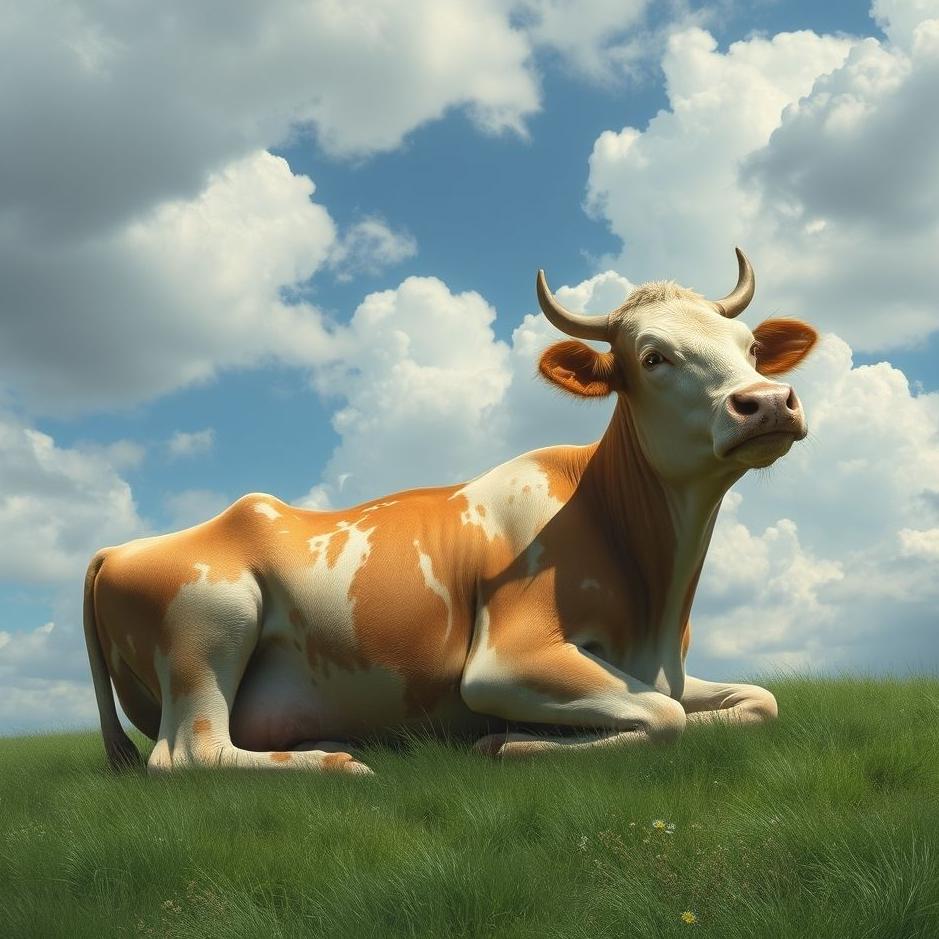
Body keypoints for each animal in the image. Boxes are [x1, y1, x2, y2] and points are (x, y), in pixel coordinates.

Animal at [83, 248, 817, 775]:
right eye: (653, 356)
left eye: (751, 348)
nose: (767, 402)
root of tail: (120, 548)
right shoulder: (505, 660)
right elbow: (664, 717)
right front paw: (506, 741)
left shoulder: (662, 669)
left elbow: (761, 700)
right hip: (209, 626)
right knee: (189, 753)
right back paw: (340, 761)